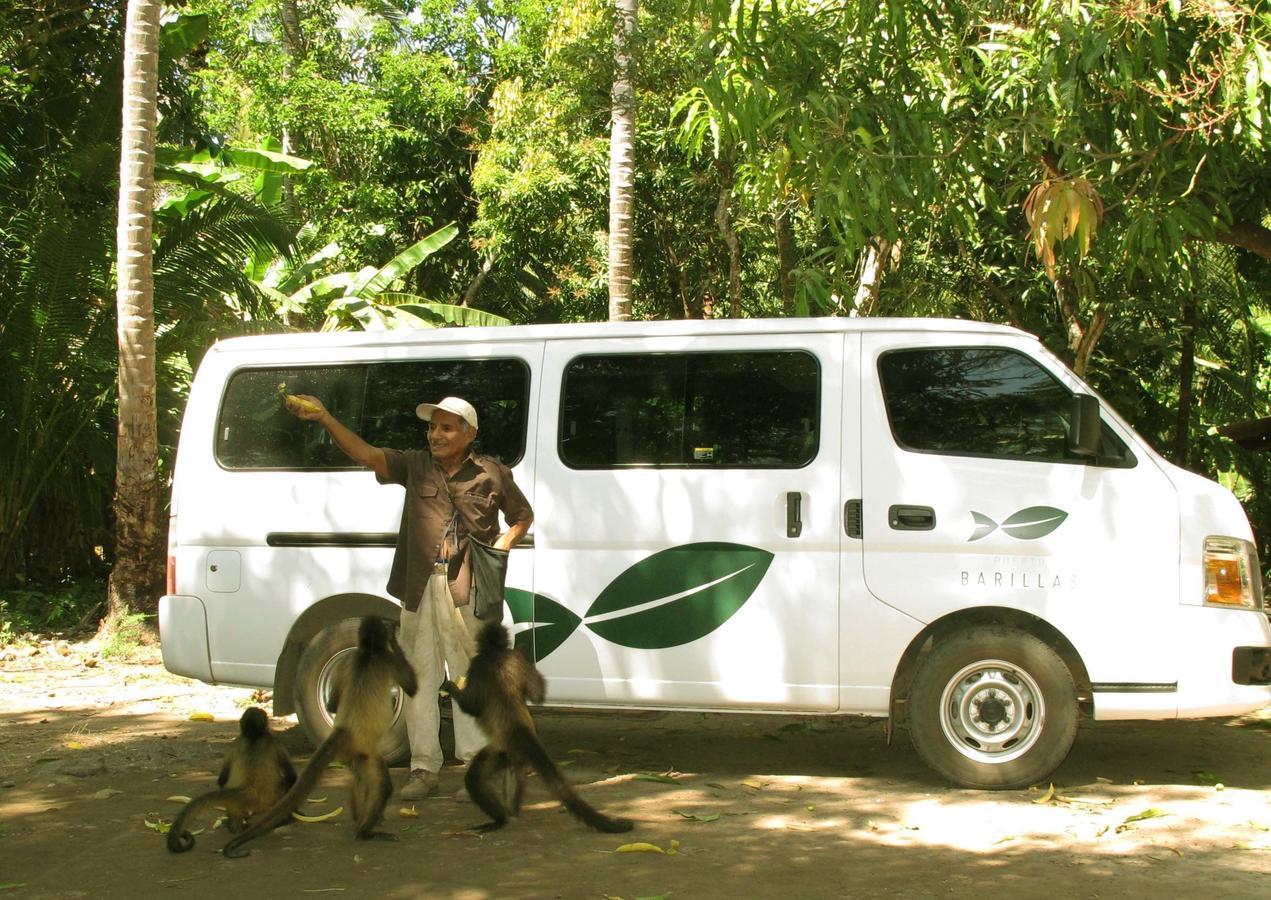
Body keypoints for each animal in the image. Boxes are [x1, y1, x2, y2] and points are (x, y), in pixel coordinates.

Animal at [166, 711, 294, 849]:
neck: (253, 736)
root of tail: (248, 789)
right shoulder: (274, 741)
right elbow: (291, 777)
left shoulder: (236, 742)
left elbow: (222, 779)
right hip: (266, 802)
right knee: (283, 784)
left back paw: (234, 825)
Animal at [219, 617, 416, 859]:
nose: (391, 626)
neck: (367, 653)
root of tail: (343, 730)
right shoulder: (386, 659)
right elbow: (411, 687)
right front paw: (393, 638)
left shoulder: (348, 660)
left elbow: (332, 705)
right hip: (366, 749)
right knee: (382, 785)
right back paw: (365, 831)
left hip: (355, 752)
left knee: (360, 777)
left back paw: (360, 820)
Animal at [442, 622, 635, 833]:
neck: (498, 653)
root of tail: (519, 729)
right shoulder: (513, 658)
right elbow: (537, 694)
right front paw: (526, 649)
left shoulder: (478, 664)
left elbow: (472, 707)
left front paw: (449, 686)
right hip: (513, 753)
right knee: (514, 771)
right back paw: (511, 813)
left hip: (499, 750)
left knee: (474, 781)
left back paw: (499, 820)